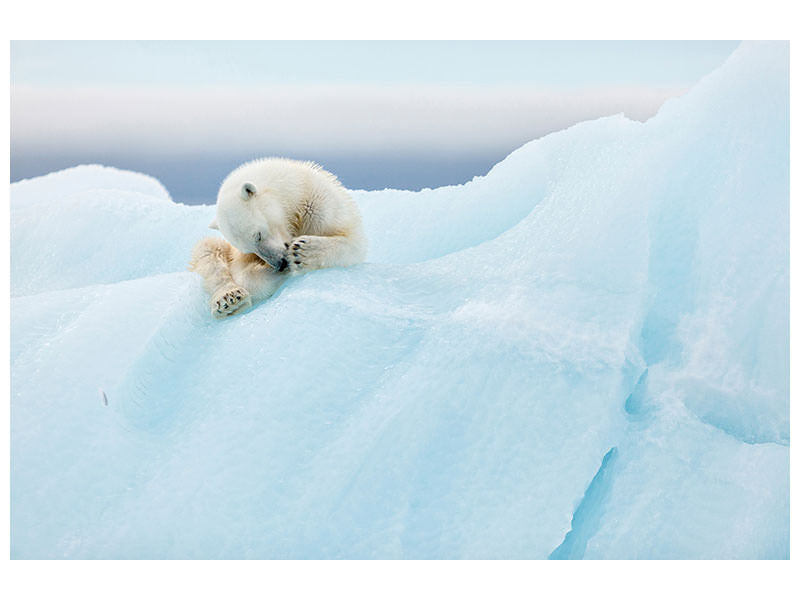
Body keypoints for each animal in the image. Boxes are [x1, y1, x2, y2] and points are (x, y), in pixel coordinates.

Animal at [189, 158, 367, 317]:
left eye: (258, 235)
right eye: (249, 249)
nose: (280, 264)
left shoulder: (320, 206)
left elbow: (353, 242)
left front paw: (302, 251)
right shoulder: (238, 255)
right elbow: (242, 272)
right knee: (208, 250)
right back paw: (229, 299)